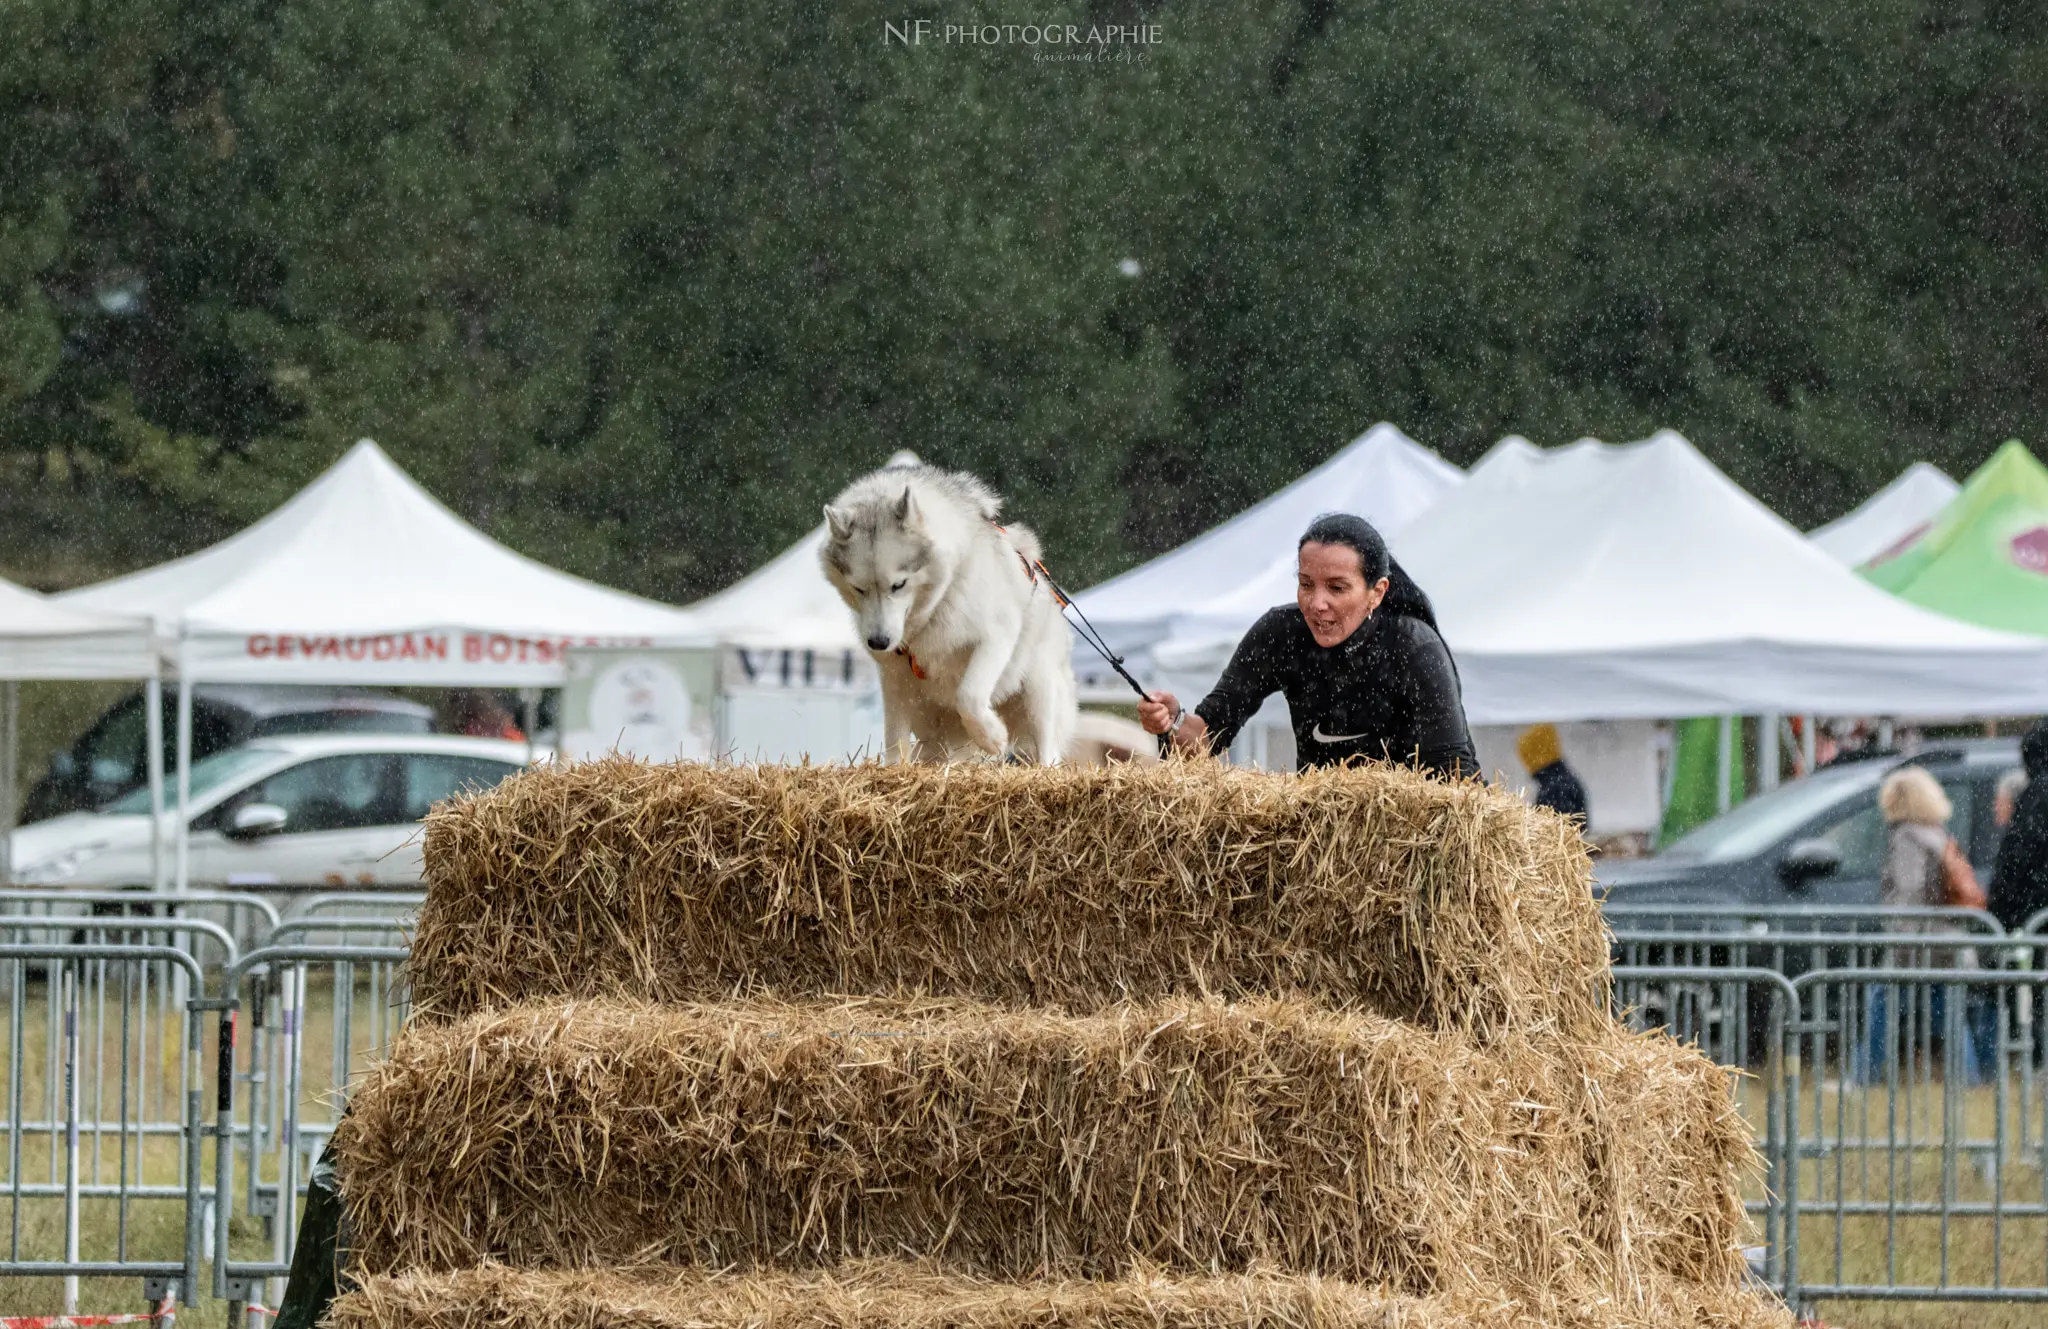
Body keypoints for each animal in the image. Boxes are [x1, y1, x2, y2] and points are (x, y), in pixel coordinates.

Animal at [823, 464, 1081, 761]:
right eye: (859, 588)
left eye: (898, 585)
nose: (878, 642)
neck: (934, 608)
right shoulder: (895, 678)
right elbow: (894, 741)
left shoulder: (996, 636)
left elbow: (968, 696)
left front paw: (992, 736)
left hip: (1038, 693)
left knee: (1048, 751)